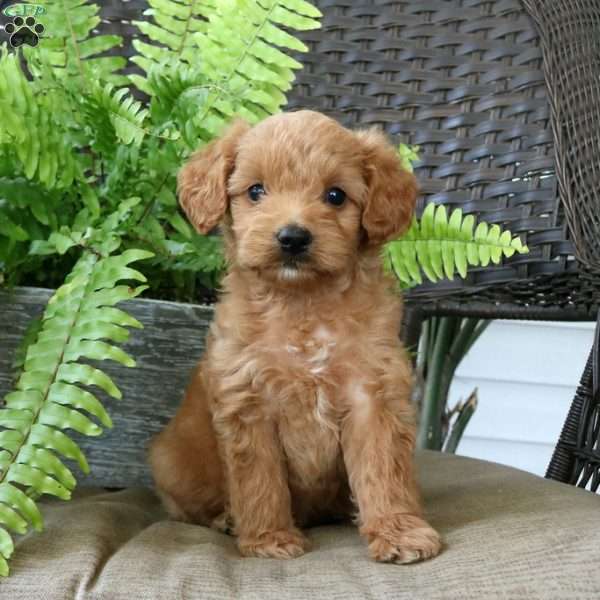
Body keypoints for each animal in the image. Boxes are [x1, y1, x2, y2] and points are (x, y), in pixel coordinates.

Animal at [149, 110, 440, 564]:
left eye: (336, 196)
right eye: (256, 190)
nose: (292, 237)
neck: (302, 305)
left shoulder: (373, 396)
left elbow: (383, 470)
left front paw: (399, 532)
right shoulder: (248, 403)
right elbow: (260, 481)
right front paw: (269, 539)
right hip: (171, 462)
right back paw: (226, 519)